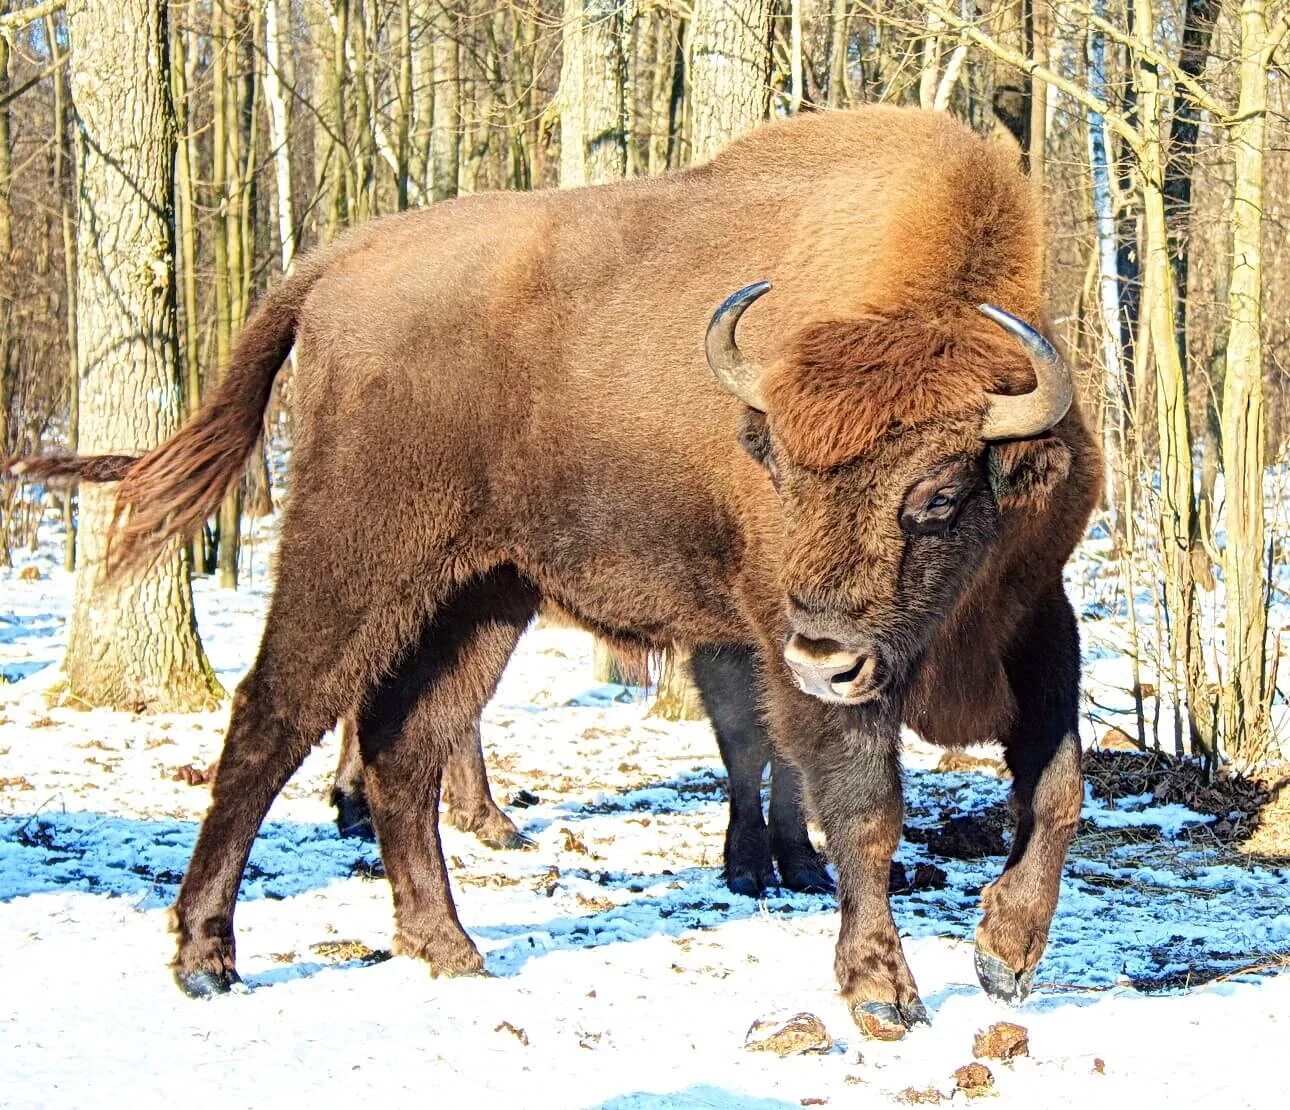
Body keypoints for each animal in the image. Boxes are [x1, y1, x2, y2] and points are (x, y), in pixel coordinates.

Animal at [7, 106, 1099, 1042]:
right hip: (356, 554)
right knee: (274, 717)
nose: (826, 656)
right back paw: (207, 959)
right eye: (778, 467)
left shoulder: (1037, 616)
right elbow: (864, 809)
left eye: (940, 495)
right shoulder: (792, 651)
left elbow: (1057, 785)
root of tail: (339, 262)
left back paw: (449, 948)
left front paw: (1006, 957)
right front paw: (882, 994)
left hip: (481, 596)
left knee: (406, 745)